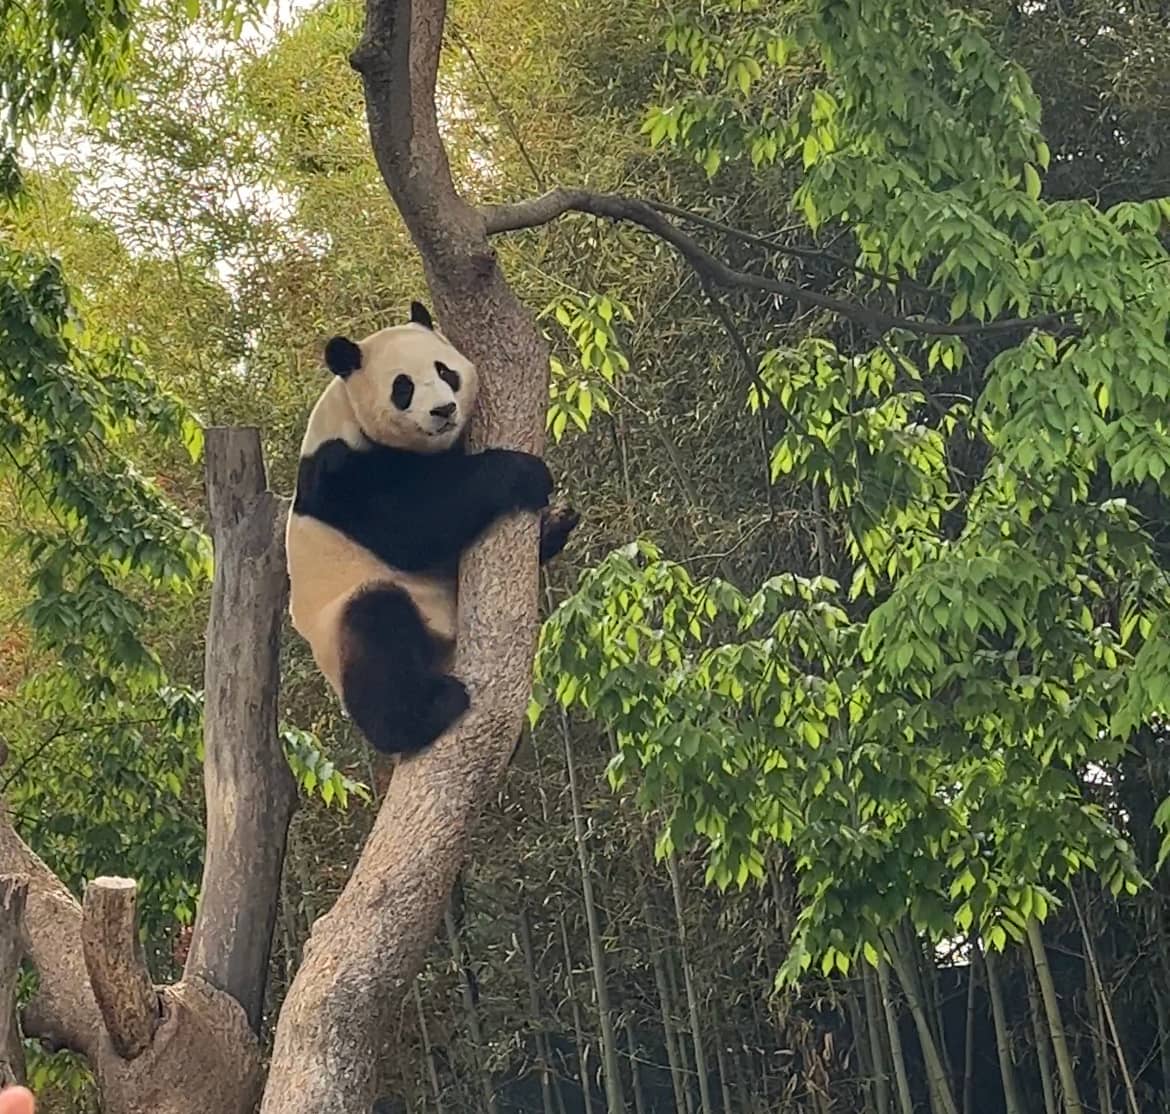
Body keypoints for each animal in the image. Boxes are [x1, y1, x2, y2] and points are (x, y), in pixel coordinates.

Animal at [286, 300, 578, 757]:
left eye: (445, 371)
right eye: (402, 387)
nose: (443, 410)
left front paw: (554, 522)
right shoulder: (341, 474)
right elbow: (413, 527)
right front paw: (524, 473)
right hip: (342, 621)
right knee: (377, 627)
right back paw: (425, 713)